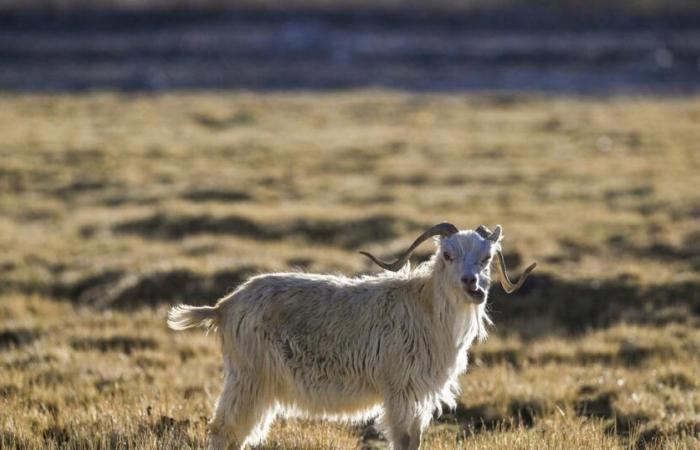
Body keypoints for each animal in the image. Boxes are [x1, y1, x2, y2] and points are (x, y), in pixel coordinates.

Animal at [168, 222, 536, 450]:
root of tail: (224, 306)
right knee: (224, 431)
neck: (425, 308)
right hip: (250, 378)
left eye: (486, 258)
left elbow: (415, 439)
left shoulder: (418, 394)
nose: (472, 285)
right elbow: (403, 440)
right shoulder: (399, 391)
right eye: (448, 255)